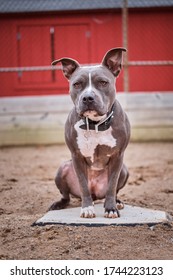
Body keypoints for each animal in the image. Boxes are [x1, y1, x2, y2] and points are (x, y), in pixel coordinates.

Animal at [49, 48, 130, 219]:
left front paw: (111, 208)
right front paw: (86, 208)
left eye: (103, 82)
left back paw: (116, 201)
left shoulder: (118, 156)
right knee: (66, 196)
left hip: (124, 170)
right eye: (77, 84)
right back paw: (60, 203)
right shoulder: (77, 157)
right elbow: (83, 185)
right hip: (62, 168)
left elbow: (112, 186)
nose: (87, 97)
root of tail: (96, 194)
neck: (95, 124)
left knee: (113, 191)